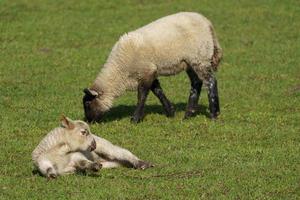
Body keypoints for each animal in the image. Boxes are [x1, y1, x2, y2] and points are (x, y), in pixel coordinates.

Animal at [83, 12, 221, 123]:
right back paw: (188, 115)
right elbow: (157, 91)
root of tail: (207, 23)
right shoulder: (149, 71)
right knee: (196, 83)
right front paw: (170, 111)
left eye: (88, 103)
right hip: (190, 62)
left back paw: (214, 115)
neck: (119, 70)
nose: (89, 121)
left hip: (199, 57)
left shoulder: (145, 71)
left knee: (211, 81)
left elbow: (142, 95)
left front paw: (135, 119)